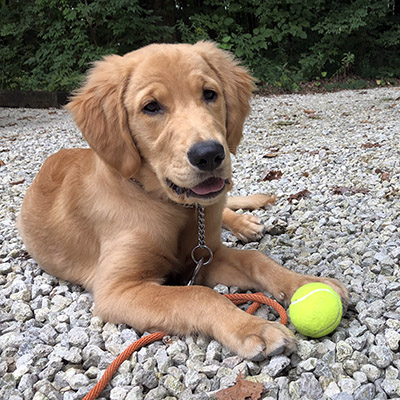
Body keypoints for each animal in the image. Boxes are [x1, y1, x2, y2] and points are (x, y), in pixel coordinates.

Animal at [18, 42, 346, 358]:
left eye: (209, 94)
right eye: (151, 107)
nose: (209, 154)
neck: (170, 206)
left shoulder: (207, 255)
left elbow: (257, 259)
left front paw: (305, 283)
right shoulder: (117, 289)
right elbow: (197, 294)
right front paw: (253, 328)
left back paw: (246, 223)